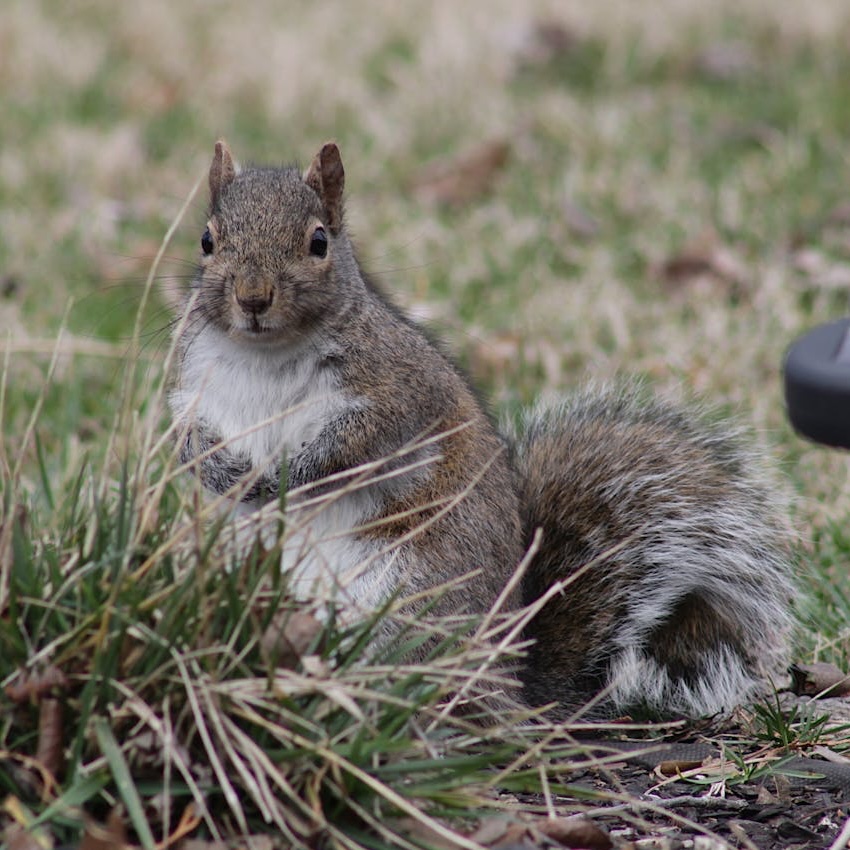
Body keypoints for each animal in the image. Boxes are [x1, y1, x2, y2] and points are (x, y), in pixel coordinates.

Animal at [169, 140, 795, 720]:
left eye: (318, 242)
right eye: (207, 240)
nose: (252, 299)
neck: (265, 355)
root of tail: (511, 681)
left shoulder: (396, 392)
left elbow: (353, 446)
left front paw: (286, 475)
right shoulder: (191, 385)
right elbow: (185, 437)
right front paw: (222, 469)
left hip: (407, 595)